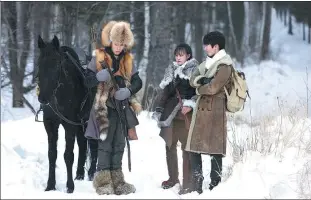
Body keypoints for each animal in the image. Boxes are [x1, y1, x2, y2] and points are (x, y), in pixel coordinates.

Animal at [36, 35, 97, 193]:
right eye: (39, 63)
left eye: (57, 64)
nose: (43, 98)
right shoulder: (50, 124)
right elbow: (52, 154)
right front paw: (50, 185)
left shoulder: (69, 125)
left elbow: (68, 155)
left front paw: (70, 187)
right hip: (81, 125)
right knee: (82, 145)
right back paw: (80, 175)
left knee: (94, 145)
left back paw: (91, 174)